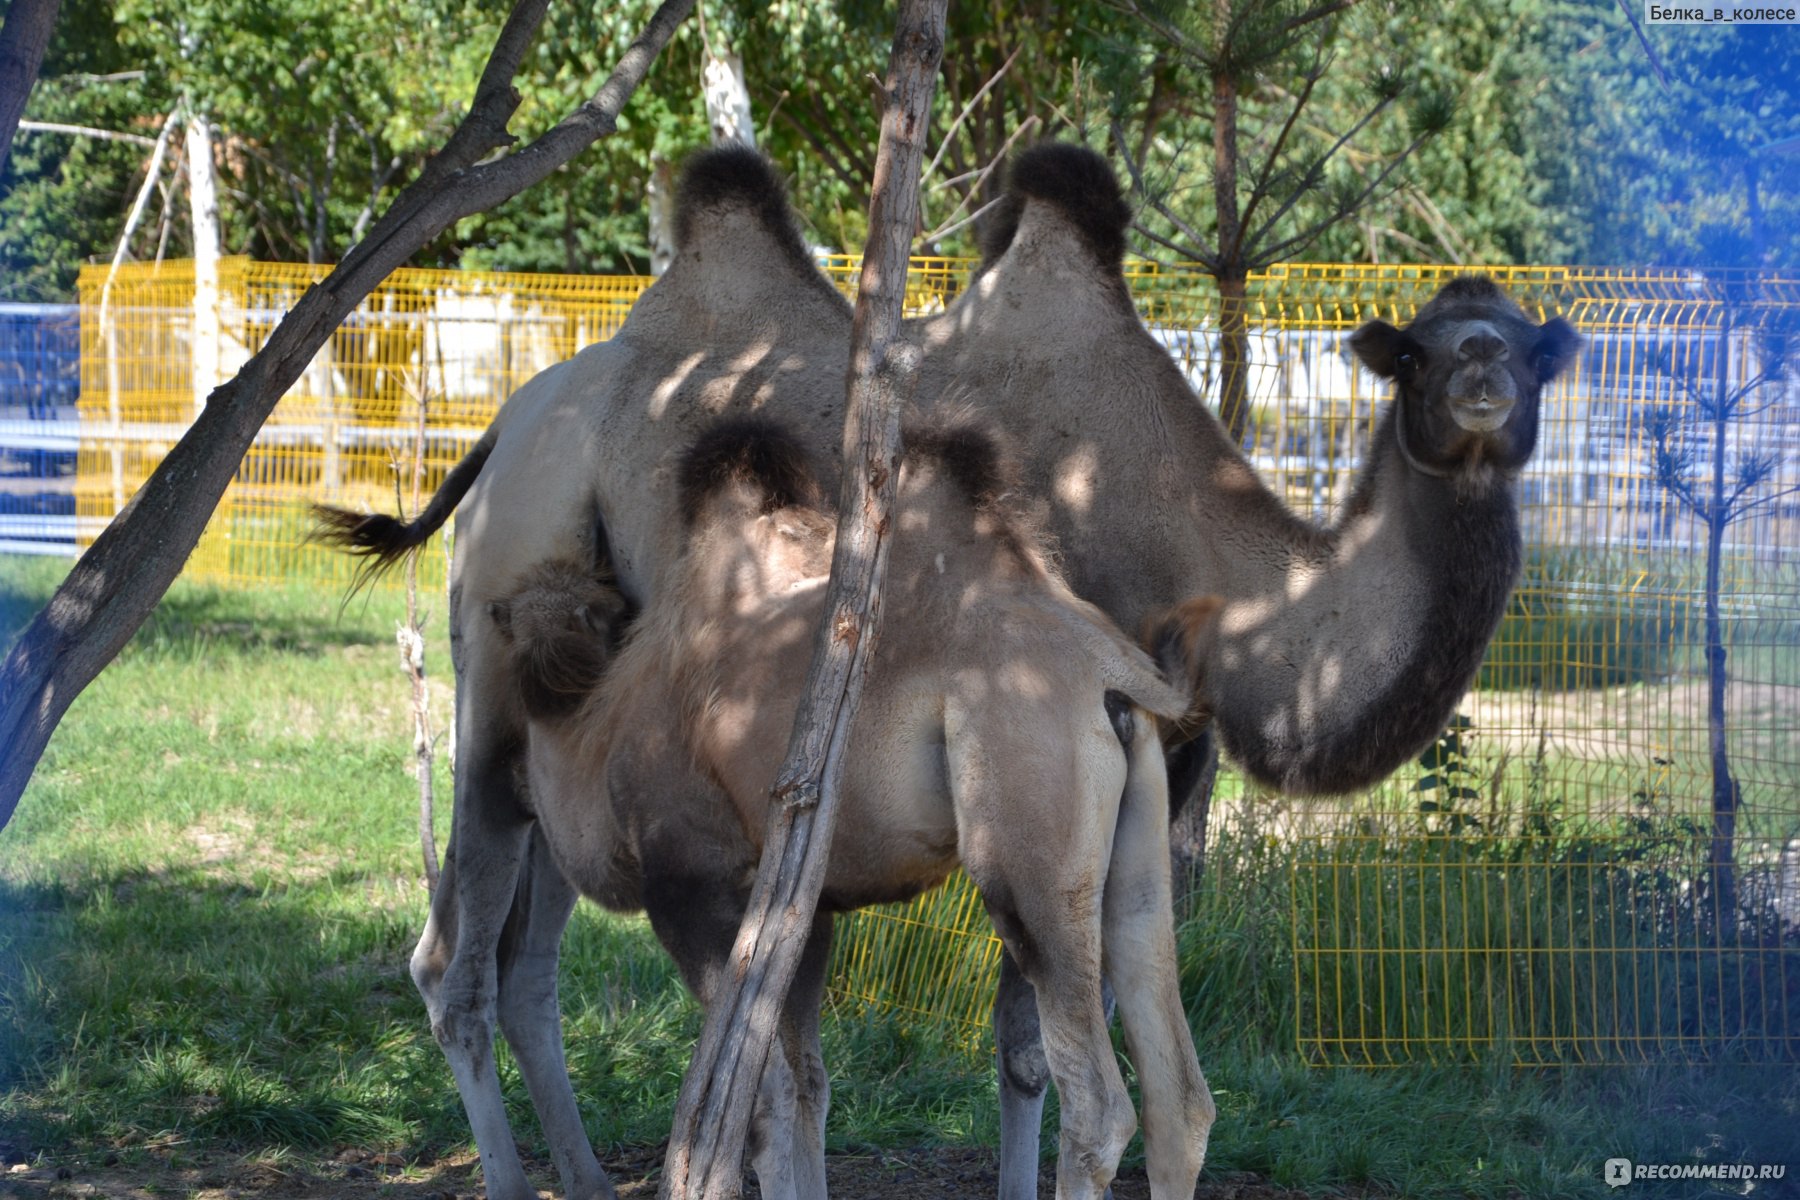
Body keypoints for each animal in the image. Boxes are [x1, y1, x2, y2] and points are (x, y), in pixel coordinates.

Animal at [489, 420, 1224, 1200]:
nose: (501, 775)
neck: (599, 730)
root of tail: (1114, 675)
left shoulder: (690, 883)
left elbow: (756, 1104)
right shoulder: (802, 910)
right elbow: (806, 1085)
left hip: (1029, 840)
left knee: (1097, 1103)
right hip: (1136, 853)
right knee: (1178, 1095)